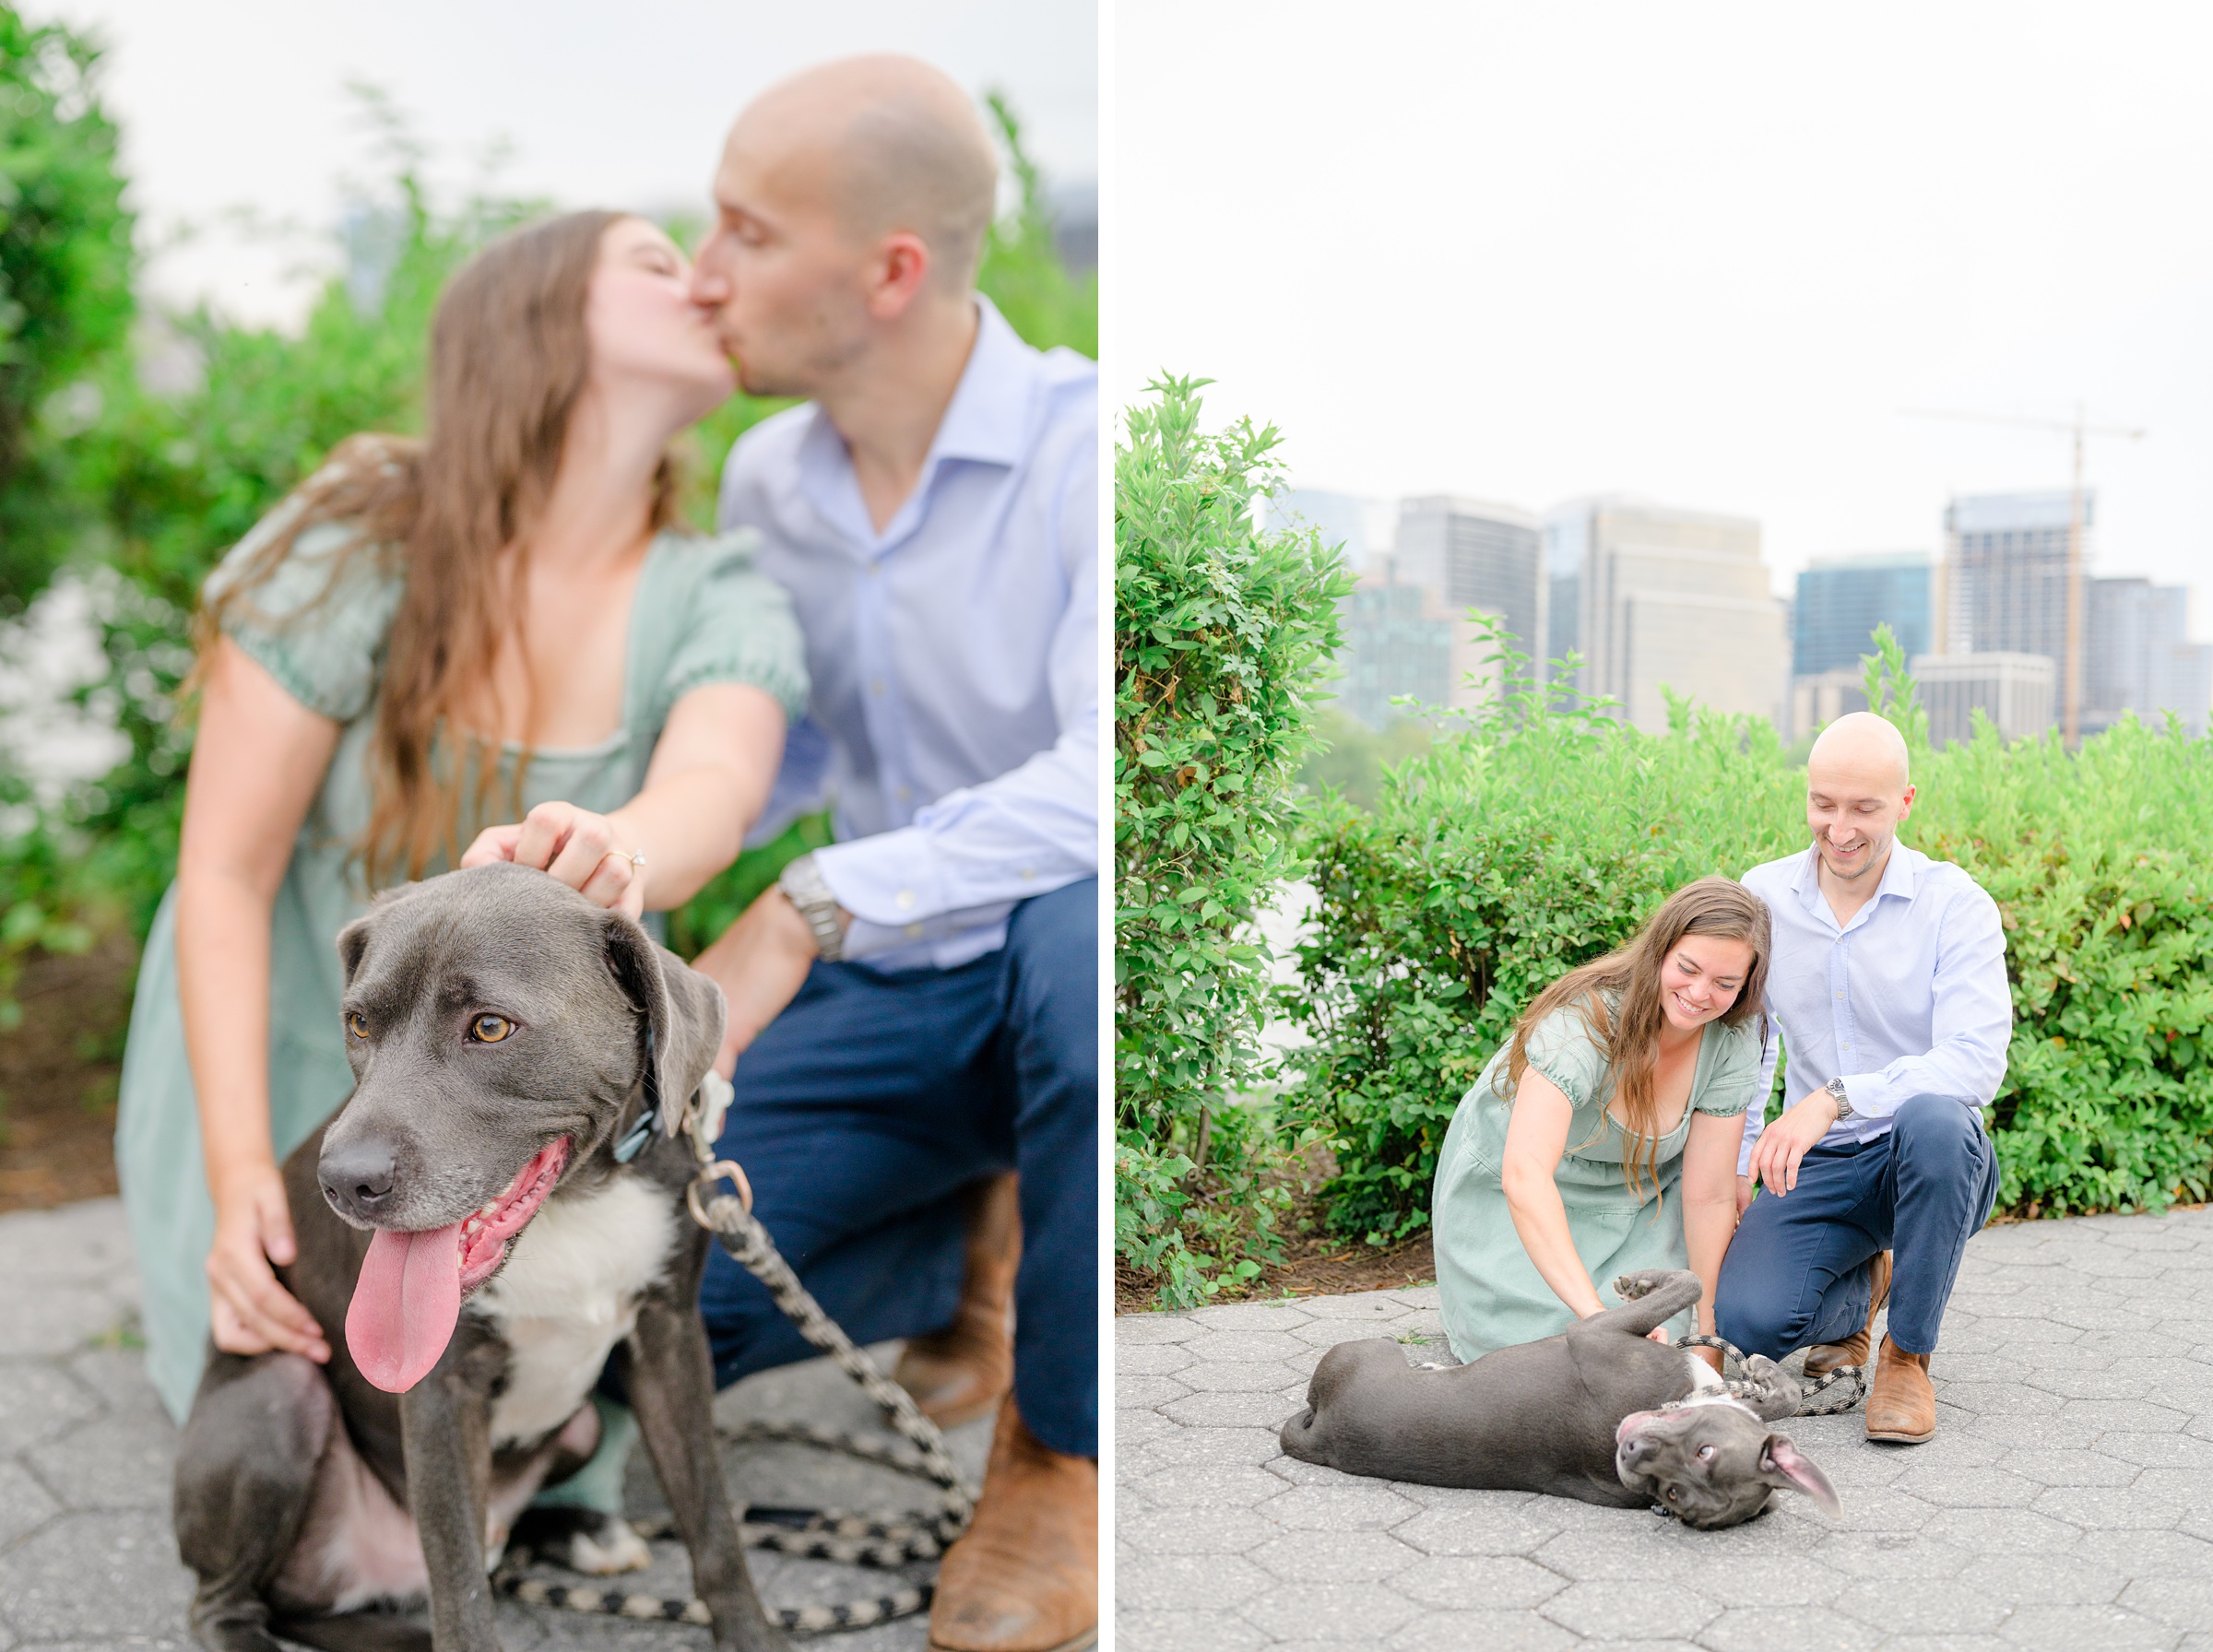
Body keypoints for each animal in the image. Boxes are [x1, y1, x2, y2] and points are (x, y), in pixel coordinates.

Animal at [177, 867, 792, 1652]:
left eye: (490, 1027)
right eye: (360, 1023)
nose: (345, 1182)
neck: (574, 1204)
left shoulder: (670, 1336)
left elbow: (712, 1519)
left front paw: (751, 1633)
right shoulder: (442, 1386)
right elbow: (460, 1584)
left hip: (583, 1425)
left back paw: (582, 1533)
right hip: (279, 1396)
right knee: (235, 1600)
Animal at [1274, 1273, 1840, 1530]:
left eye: (1673, 1493)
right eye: (1703, 1450)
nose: (1631, 1450)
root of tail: (1322, 1436)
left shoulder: (1593, 1333)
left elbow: (1690, 1282)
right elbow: (1785, 1397)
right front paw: (1762, 1374)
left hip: (1365, 1350)